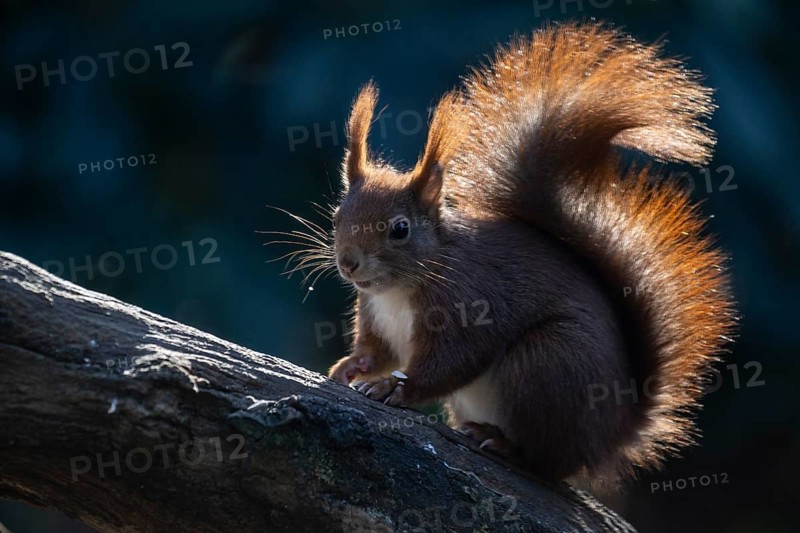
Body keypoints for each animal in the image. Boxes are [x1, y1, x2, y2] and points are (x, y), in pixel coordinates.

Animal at [321, 22, 736, 486]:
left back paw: (504, 444)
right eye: (337, 216)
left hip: (547, 362)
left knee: (549, 461)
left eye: (399, 230)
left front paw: (396, 388)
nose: (349, 263)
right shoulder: (375, 313)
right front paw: (349, 368)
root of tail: (616, 431)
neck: (400, 290)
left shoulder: (470, 301)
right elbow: (380, 353)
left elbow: (453, 360)